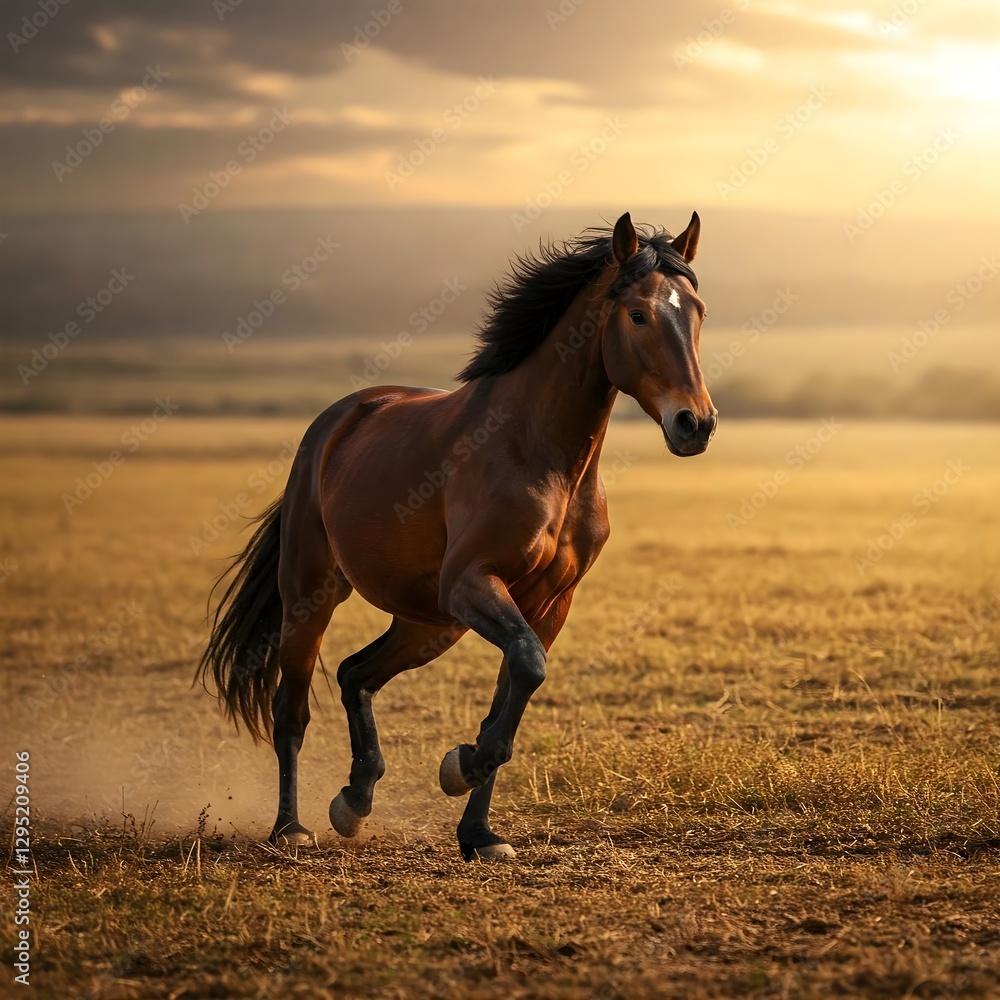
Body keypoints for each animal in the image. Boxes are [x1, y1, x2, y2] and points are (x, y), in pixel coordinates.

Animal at [198, 211, 717, 860]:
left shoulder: (547, 604)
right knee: (290, 709)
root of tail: (338, 420)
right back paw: (290, 828)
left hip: (429, 622)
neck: (541, 454)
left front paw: (479, 832)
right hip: (312, 595)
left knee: (354, 674)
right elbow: (526, 667)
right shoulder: (473, 582)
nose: (695, 423)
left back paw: (355, 798)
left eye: (698, 312)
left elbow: (517, 683)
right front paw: (461, 766)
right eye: (639, 314)